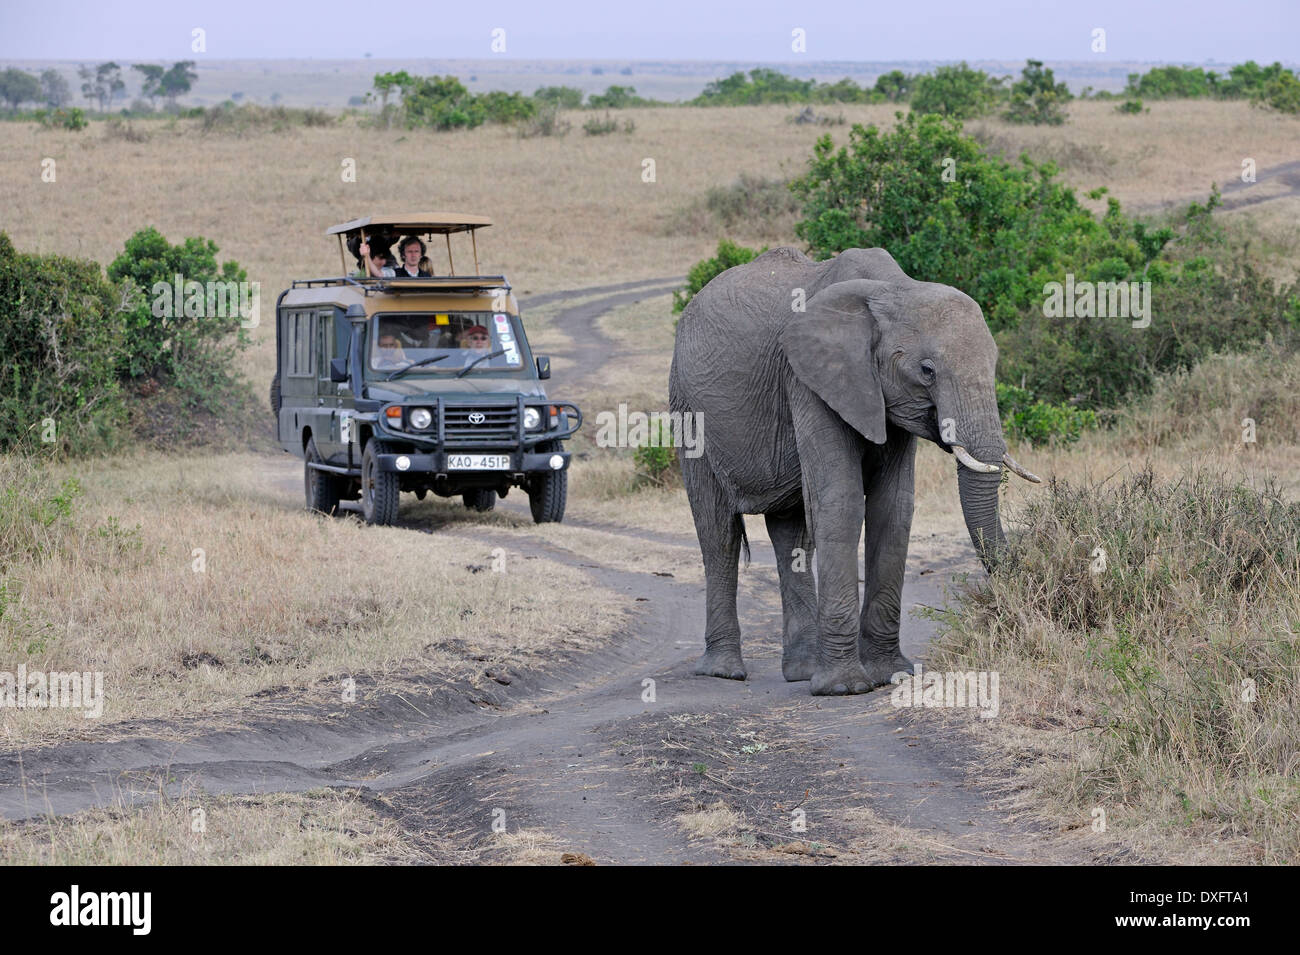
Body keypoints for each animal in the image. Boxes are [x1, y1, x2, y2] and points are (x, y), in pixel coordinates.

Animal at [665, 246, 1040, 696]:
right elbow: (841, 502)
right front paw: (843, 688)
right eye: (927, 370)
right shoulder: (809, 379)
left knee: (791, 534)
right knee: (717, 532)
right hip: (687, 407)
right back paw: (724, 671)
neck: (895, 288)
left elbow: (894, 507)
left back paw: (803, 670)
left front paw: (890, 675)